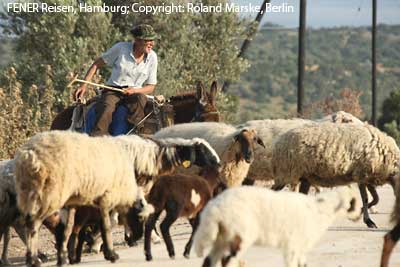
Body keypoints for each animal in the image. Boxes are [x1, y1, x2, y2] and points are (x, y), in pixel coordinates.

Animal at [14, 131, 219, 266]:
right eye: (202, 151)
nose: (218, 163)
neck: (156, 154)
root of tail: (29, 154)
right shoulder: (129, 187)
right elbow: (115, 219)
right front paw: (103, 245)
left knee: (63, 224)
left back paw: (63, 254)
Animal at [195, 185, 362, 267]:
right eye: (355, 204)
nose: (360, 217)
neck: (320, 209)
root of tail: (215, 209)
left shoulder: (300, 247)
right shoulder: (293, 245)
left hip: (223, 236)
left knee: (209, 261)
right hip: (239, 234)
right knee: (228, 261)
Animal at [270, 123, 398, 228]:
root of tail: (279, 143)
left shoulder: (369, 177)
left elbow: (376, 198)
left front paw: (361, 213)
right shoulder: (361, 173)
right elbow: (366, 198)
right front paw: (367, 220)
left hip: (304, 177)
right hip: (287, 172)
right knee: (272, 191)